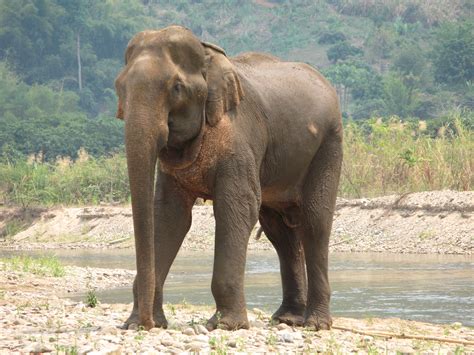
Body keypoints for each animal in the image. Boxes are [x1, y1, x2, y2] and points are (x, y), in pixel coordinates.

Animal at [115, 25, 344, 334]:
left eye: (177, 88)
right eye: (120, 87)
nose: (146, 325)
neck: (208, 55)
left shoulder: (239, 136)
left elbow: (236, 207)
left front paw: (226, 325)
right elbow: (170, 216)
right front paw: (135, 324)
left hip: (329, 144)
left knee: (314, 221)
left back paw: (315, 324)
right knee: (280, 232)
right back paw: (287, 319)